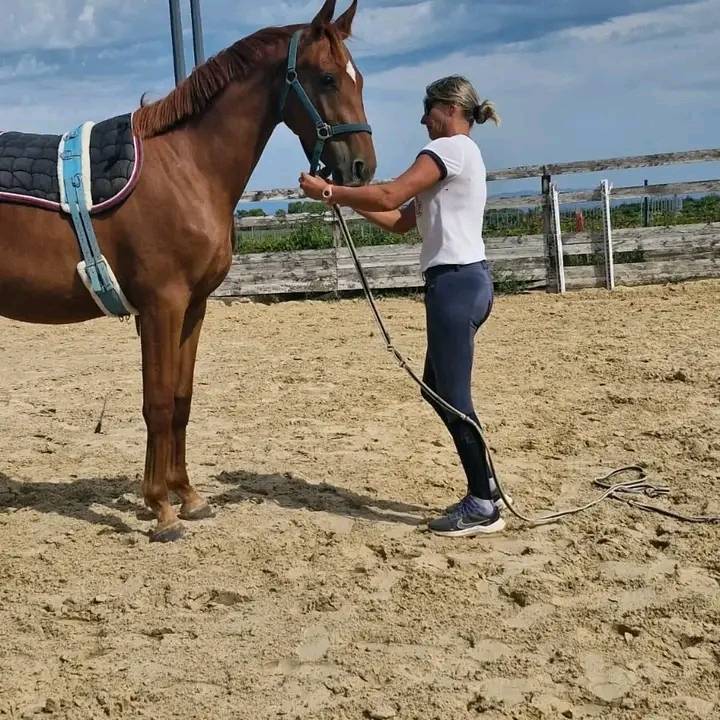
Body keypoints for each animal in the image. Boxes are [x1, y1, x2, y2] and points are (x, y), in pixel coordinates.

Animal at [0, 0, 376, 541]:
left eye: (358, 78)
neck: (186, 167)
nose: (363, 169)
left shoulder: (193, 308)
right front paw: (161, 509)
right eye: (326, 77)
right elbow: (156, 403)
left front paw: (187, 497)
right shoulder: (162, 305)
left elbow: (180, 399)